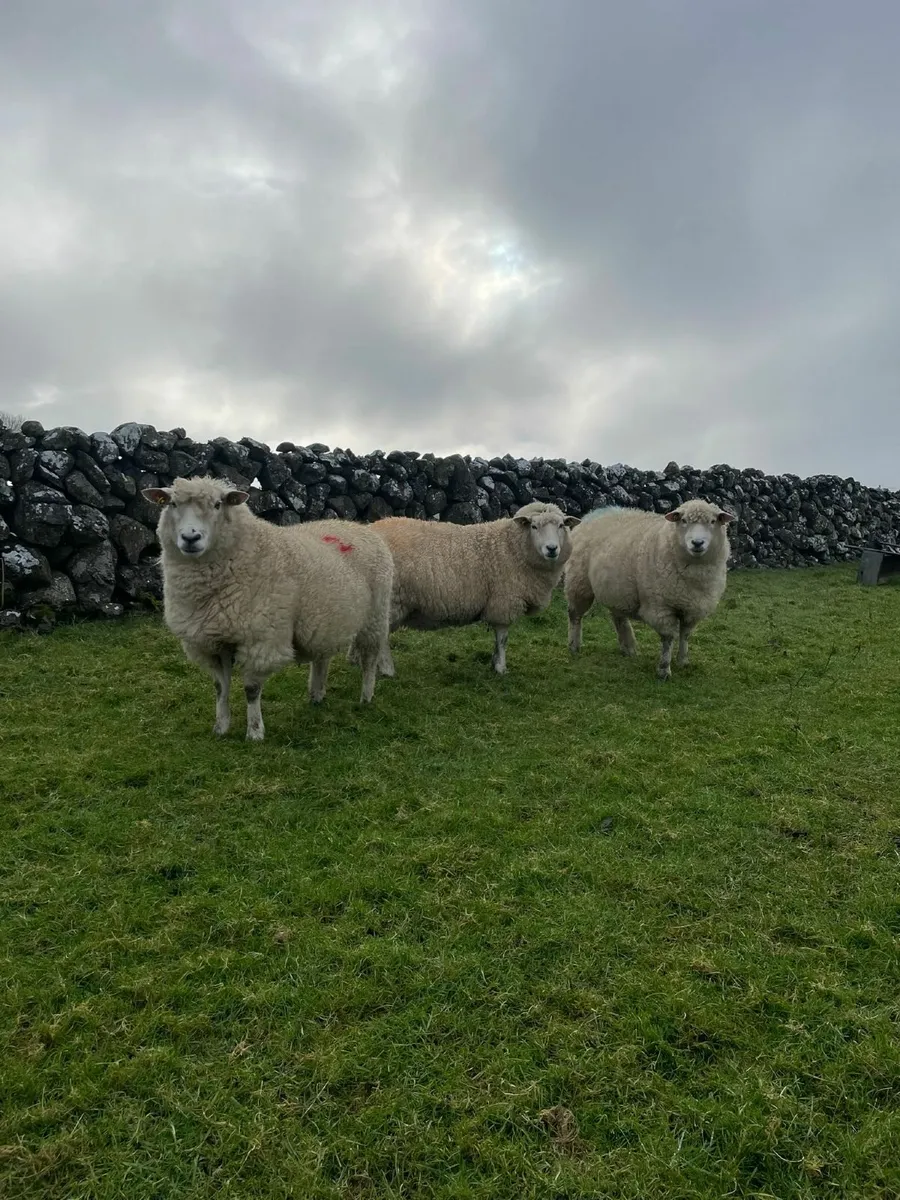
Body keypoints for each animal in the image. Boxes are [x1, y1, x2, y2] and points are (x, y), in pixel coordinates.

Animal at [142, 475, 393, 740]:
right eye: (172, 504)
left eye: (218, 505)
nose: (191, 538)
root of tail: (356, 525)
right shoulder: (211, 641)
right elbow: (220, 687)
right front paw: (220, 728)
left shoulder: (261, 640)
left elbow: (251, 689)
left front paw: (254, 732)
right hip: (325, 619)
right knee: (321, 658)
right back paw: (316, 696)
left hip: (375, 617)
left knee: (369, 659)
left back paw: (366, 697)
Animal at [353, 501, 580, 675]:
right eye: (533, 526)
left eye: (561, 525)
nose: (552, 549)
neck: (511, 547)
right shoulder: (503, 602)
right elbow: (503, 639)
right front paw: (501, 668)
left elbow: (498, 641)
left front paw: (494, 662)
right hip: (390, 599)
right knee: (381, 637)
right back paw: (387, 670)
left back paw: (357, 660)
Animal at [564, 499, 735, 681]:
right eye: (683, 520)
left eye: (712, 521)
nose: (697, 543)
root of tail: (594, 512)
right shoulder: (660, 607)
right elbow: (668, 638)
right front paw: (664, 670)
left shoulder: (693, 608)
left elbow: (685, 635)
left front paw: (683, 661)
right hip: (579, 582)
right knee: (575, 614)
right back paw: (574, 645)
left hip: (616, 589)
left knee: (618, 617)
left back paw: (629, 648)